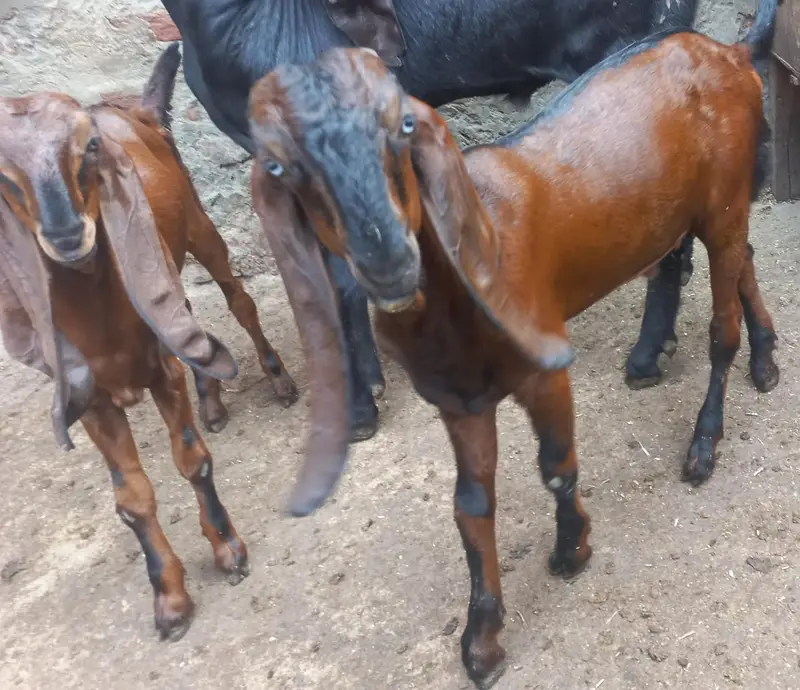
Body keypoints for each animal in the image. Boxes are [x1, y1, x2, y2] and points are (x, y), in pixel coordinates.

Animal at [0, 44, 297, 640]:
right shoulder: (93, 401)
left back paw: (277, 380)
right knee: (190, 320)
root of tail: (135, 109)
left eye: (89, 145)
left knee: (237, 301)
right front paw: (170, 600)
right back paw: (213, 403)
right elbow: (132, 499)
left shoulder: (161, 370)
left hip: (201, 229)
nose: (68, 234)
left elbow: (191, 460)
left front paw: (229, 550)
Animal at [246, 0, 780, 683]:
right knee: (747, 262)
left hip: (724, 198)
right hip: (714, 208)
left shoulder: (544, 365)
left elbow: (556, 466)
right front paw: (482, 641)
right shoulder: (458, 399)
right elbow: (470, 505)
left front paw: (572, 549)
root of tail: (731, 54)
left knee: (721, 328)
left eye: (403, 126)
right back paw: (766, 360)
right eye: (281, 164)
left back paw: (705, 443)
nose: (387, 258)